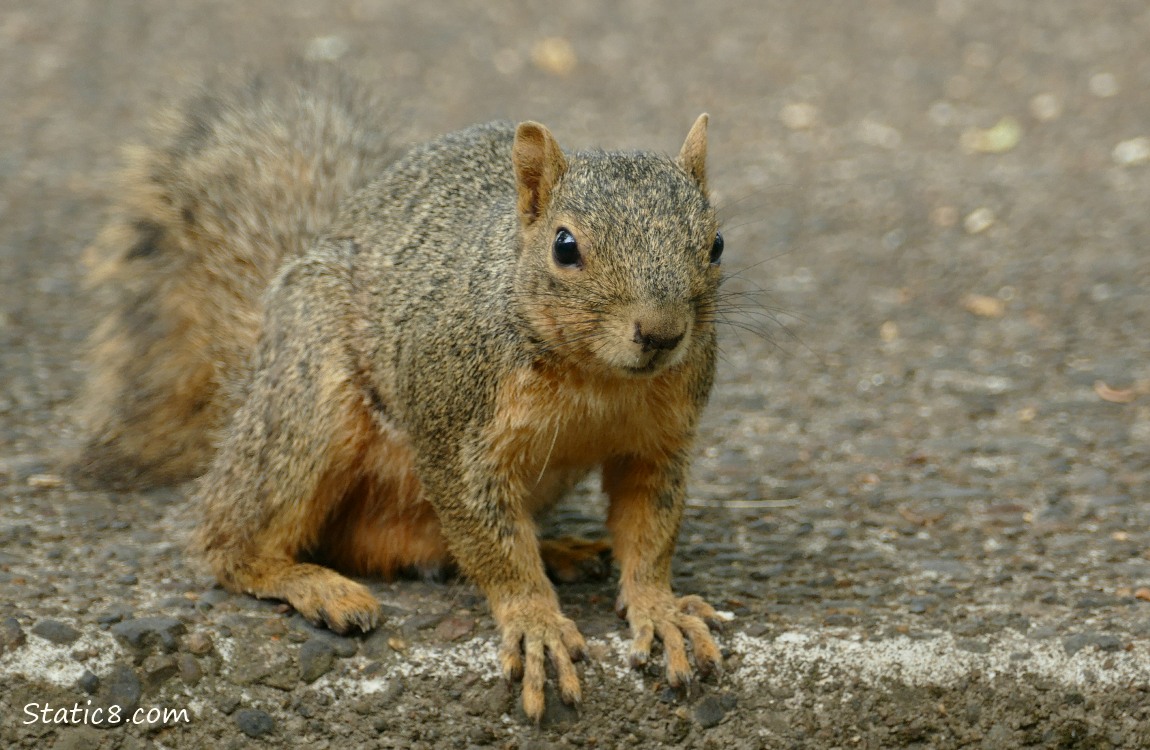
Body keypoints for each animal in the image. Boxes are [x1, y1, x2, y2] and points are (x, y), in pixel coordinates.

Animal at [74, 65, 726, 722]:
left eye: (716, 244)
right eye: (565, 247)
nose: (661, 334)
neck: (597, 377)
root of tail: (255, 366)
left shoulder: (659, 441)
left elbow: (650, 531)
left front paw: (661, 611)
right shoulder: (454, 429)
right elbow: (492, 544)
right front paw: (536, 624)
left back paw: (559, 550)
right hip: (308, 403)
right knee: (229, 540)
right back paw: (315, 585)